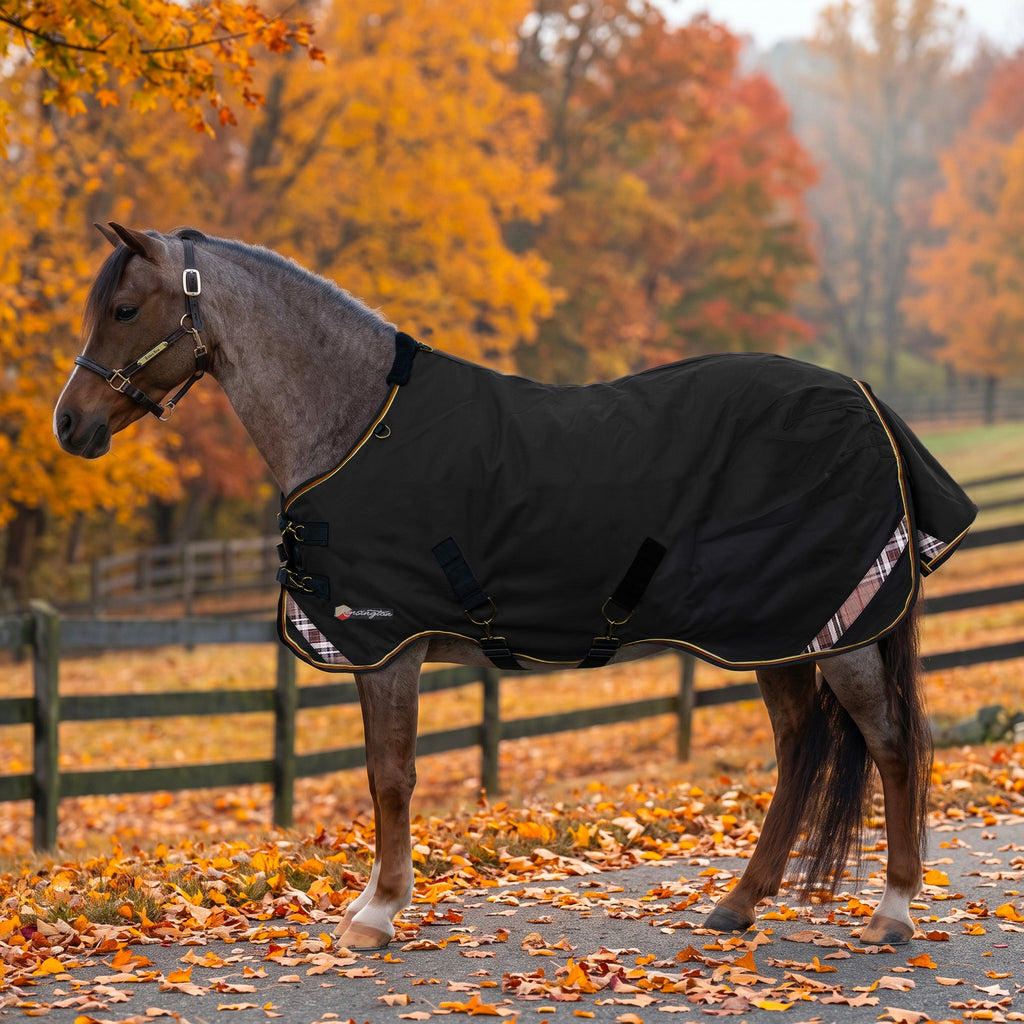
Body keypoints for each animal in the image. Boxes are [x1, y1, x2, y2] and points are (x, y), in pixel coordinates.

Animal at [54, 223, 975, 951]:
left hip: (837, 632)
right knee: (798, 749)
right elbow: (380, 774)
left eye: (125, 309)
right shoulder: (378, 653)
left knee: (890, 746)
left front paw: (377, 915)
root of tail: (864, 399)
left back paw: (892, 911)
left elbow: (390, 776)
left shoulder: (386, 645)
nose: (70, 424)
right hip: (777, 635)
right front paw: (371, 903)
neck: (357, 424)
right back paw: (739, 904)